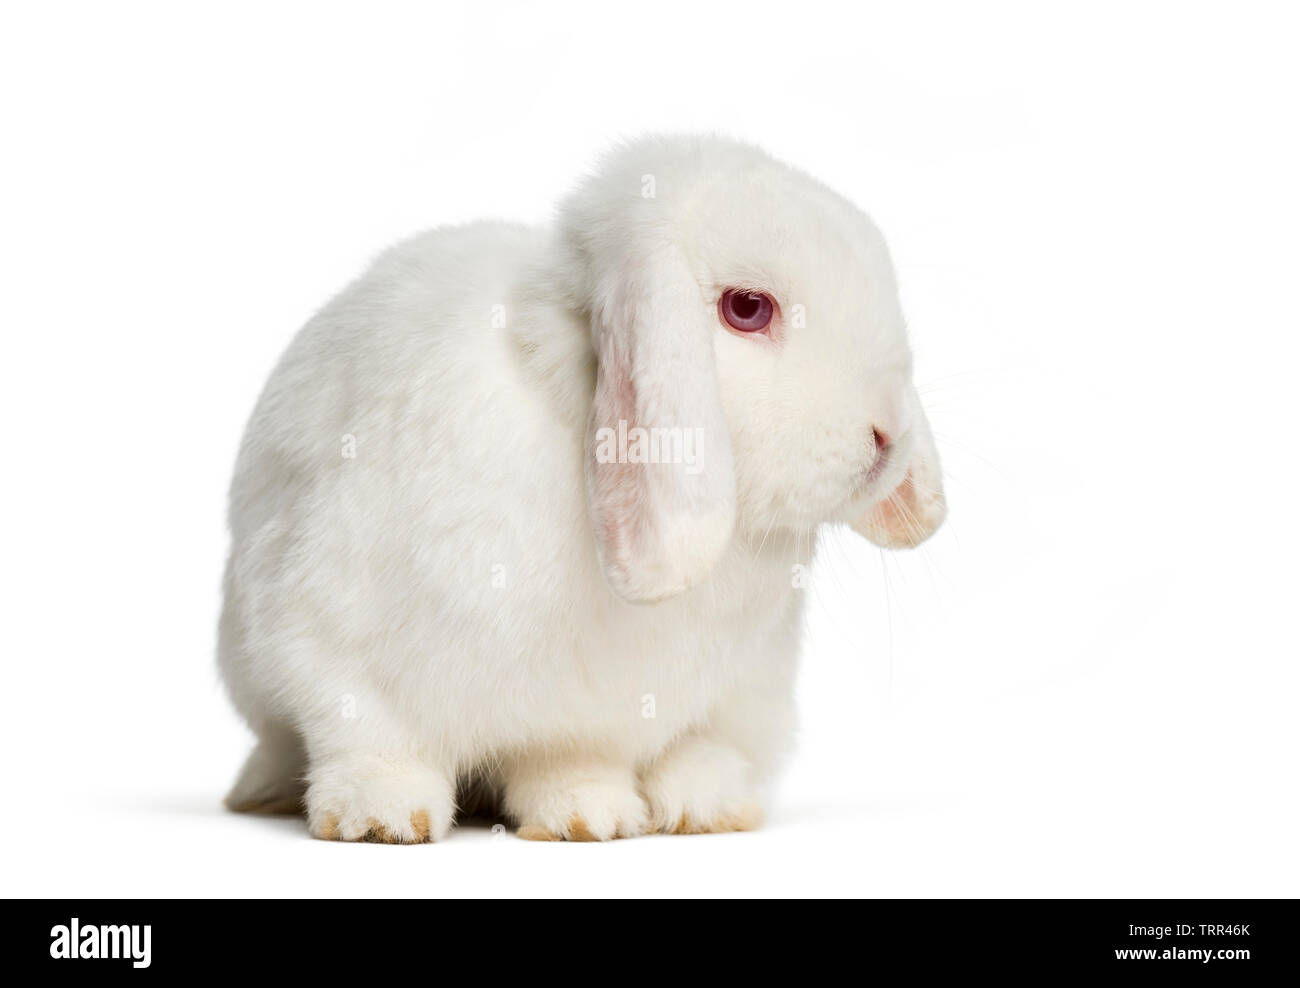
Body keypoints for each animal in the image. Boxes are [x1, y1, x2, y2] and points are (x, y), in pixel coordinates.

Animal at [218, 134, 946, 843]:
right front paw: (384, 819)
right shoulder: (336, 638)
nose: (887, 436)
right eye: (747, 308)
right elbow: (374, 741)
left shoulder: (698, 696)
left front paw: (609, 816)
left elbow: (613, 755)